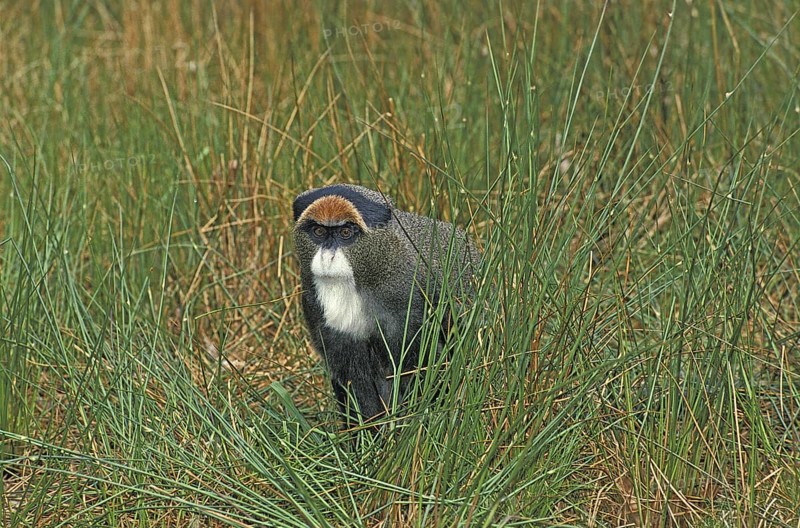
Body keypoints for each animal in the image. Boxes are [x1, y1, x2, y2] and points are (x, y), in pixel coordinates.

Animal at [292, 184, 479, 426]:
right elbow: (352, 378)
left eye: (346, 233)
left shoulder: (403, 299)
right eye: (319, 232)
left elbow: (416, 366)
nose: (327, 258)